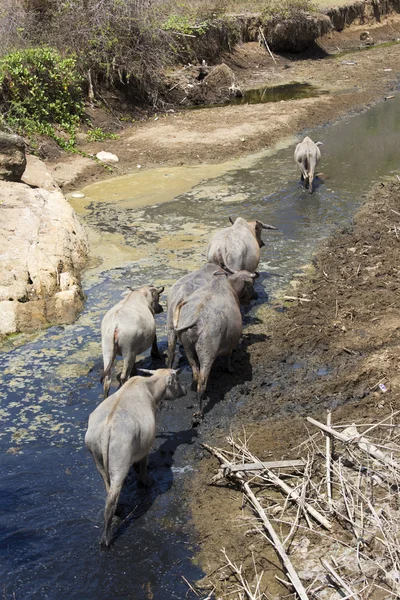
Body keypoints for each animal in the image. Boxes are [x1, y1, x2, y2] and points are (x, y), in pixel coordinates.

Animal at [86, 368, 186, 548]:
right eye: (178, 379)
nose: (186, 390)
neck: (151, 388)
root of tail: (107, 429)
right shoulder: (147, 443)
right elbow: (144, 463)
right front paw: (145, 481)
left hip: (97, 457)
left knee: (108, 488)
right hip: (120, 462)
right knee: (111, 500)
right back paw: (106, 538)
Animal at [173, 270, 258, 424]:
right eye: (251, 284)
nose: (256, 295)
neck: (230, 284)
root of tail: (197, 317)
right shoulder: (231, 342)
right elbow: (229, 356)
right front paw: (230, 369)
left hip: (188, 347)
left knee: (196, 372)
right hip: (207, 352)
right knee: (202, 381)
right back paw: (200, 411)